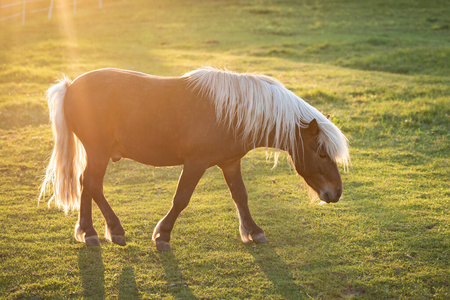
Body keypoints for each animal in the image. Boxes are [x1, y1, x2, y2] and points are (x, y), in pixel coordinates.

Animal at [39, 67, 348, 251]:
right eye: (321, 152)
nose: (336, 192)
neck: (232, 111)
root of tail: (71, 86)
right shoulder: (196, 164)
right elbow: (181, 198)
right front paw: (163, 235)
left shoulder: (230, 163)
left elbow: (241, 196)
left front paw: (253, 231)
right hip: (99, 152)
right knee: (92, 184)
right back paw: (112, 230)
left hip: (96, 154)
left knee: (86, 184)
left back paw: (87, 231)